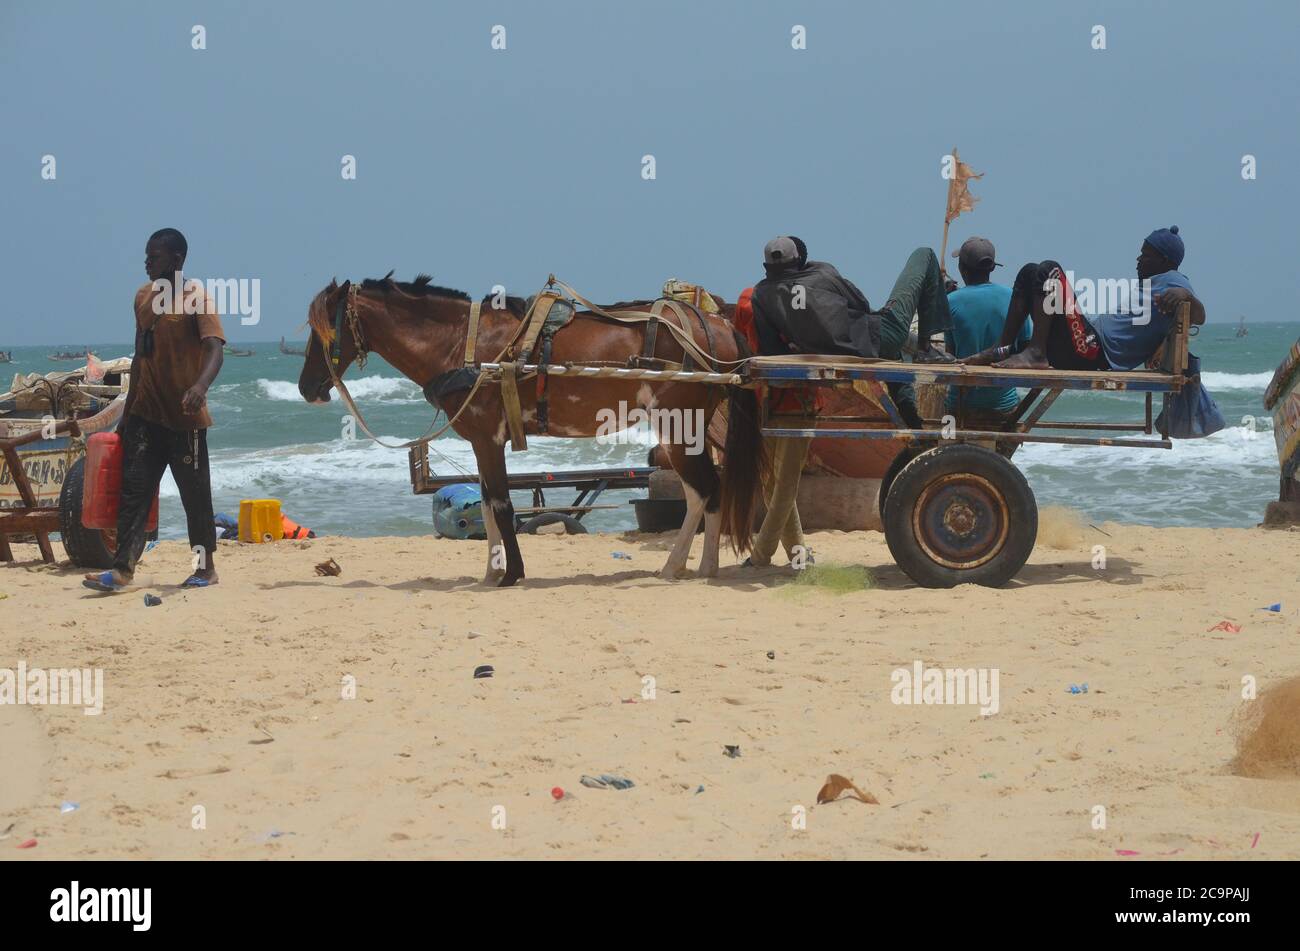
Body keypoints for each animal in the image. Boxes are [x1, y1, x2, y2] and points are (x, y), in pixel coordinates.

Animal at [299, 275, 764, 587]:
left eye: (324, 330)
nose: (307, 387)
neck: (463, 343)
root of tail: (716, 325)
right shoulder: (482, 441)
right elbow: (487, 505)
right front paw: (492, 573)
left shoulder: (488, 438)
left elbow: (501, 505)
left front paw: (510, 574)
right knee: (703, 492)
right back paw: (701, 566)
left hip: (679, 423)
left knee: (705, 490)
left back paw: (680, 566)